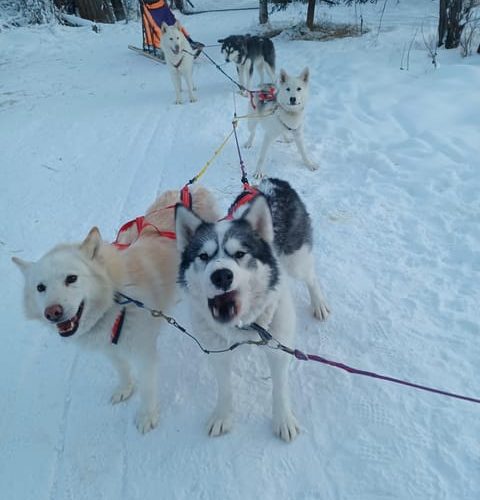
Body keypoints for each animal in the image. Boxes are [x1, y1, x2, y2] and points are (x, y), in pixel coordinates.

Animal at [13, 188, 217, 434]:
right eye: (40, 287)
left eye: (71, 278)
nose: (53, 312)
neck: (116, 299)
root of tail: (190, 189)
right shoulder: (108, 348)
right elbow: (122, 369)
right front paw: (125, 388)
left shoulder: (144, 353)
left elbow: (147, 389)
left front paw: (147, 415)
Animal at [176, 179, 330, 442]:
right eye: (203, 256)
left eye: (240, 253)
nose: (221, 275)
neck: (244, 326)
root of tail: (272, 182)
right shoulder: (217, 352)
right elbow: (224, 389)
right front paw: (222, 416)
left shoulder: (279, 348)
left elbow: (279, 388)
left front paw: (283, 420)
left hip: (297, 261)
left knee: (311, 276)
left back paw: (318, 302)